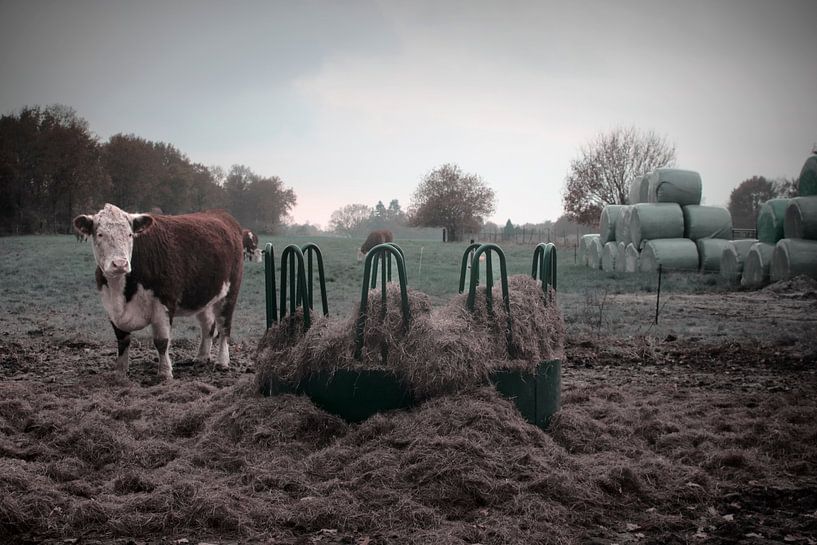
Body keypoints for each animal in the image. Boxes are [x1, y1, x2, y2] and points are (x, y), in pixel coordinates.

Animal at [74, 203, 242, 378]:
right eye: (100, 234)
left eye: (130, 234)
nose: (120, 264)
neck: (122, 292)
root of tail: (221, 214)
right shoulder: (111, 308)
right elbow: (122, 340)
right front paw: (120, 372)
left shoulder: (164, 303)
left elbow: (161, 341)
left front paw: (165, 373)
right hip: (202, 296)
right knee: (208, 325)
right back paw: (201, 357)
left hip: (230, 293)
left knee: (224, 327)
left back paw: (222, 362)